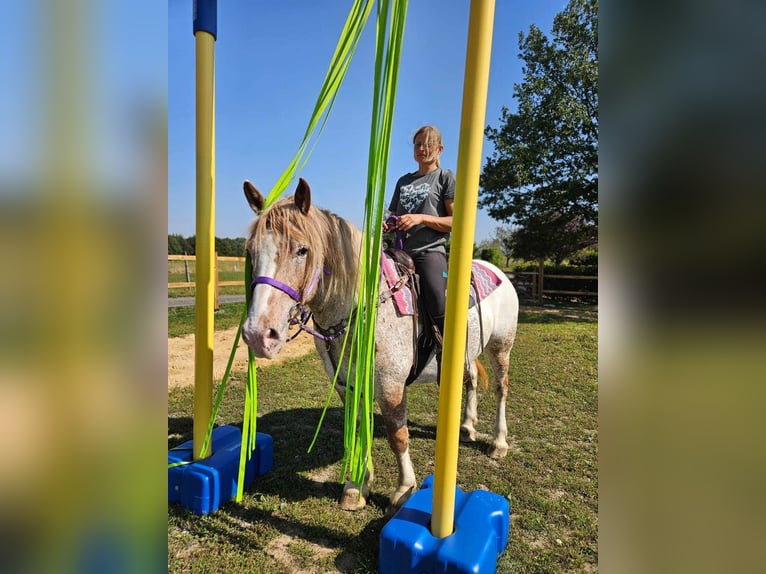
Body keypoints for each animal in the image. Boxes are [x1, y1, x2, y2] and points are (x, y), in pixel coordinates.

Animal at [243, 179, 520, 512]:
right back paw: (466, 427)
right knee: (472, 380)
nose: (258, 335)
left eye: (302, 249)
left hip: (501, 346)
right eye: (250, 251)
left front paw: (404, 489)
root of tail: (500, 271)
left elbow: (397, 435)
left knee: (502, 388)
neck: (364, 307)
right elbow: (358, 427)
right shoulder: (348, 386)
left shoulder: (391, 386)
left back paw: (499, 442)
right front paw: (356, 485)